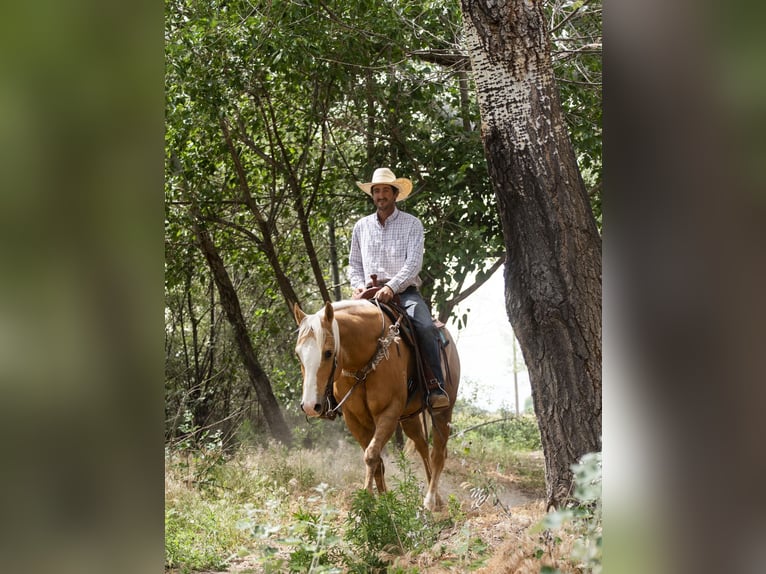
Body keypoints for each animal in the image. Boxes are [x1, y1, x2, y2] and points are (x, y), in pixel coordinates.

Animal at [294, 302, 462, 512]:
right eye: (298, 354)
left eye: (328, 352)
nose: (310, 406)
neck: (364, 363)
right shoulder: (354, 419)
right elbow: (377, 460)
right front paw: (384, 502)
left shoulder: (388, 412)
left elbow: (371, 455)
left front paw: (367, 501)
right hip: (409, 418)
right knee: (422, 446)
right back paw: (437, 497)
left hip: (443, 411)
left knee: (438, 452)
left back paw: (430, 500)